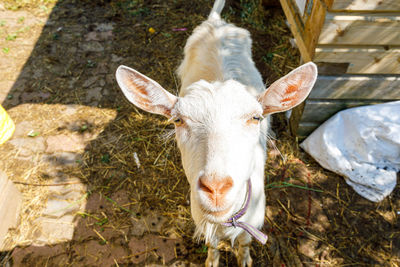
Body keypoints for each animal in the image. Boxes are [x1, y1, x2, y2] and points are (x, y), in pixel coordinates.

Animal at [115, 1, 316, 266]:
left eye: (255, 117)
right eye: (178, 120)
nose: (216, 188)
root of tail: (216, 22)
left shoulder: (254, 220)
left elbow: (245, 241)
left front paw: (245, 259)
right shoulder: (201, 217)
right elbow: (212, 244)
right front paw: (212, 260)